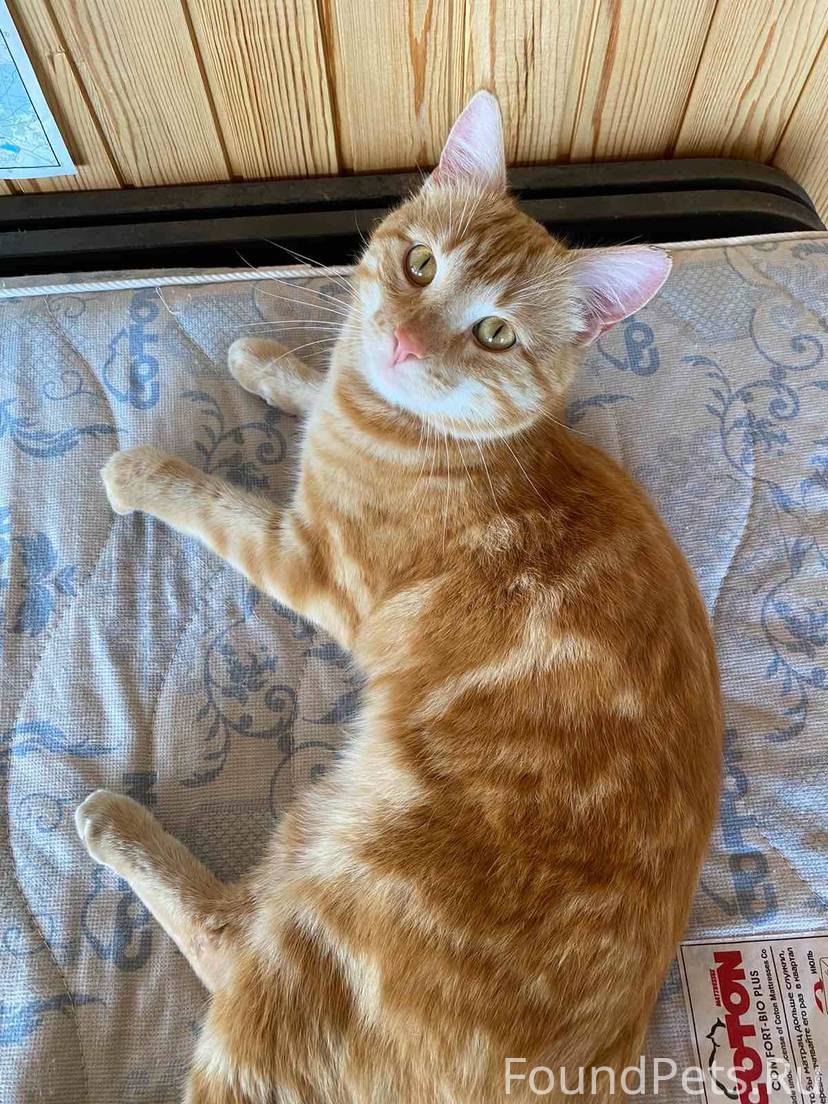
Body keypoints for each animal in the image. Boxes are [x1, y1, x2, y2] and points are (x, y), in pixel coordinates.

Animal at [75, 91, 722, 1103]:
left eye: (496, 333)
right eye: (420, 264)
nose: (406, 343)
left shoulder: (309, 559)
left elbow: (215, 502)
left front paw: (149, 472)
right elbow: (316, 380)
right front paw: (270, 360)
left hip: (331, 889)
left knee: (230, 939)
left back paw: (114, 823)